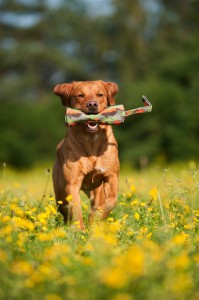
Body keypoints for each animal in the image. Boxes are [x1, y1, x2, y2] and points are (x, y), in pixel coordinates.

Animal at [52, 79, 119, 230]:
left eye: (100, 94)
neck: (91, 141)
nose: (92, 104)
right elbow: (76, 209)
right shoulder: (72, 183)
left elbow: (112, 201)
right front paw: (80, 230)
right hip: (59, 194)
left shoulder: (111, 175)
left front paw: (95, 218)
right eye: (80, 95)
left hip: (96, 190)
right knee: (65, 210)